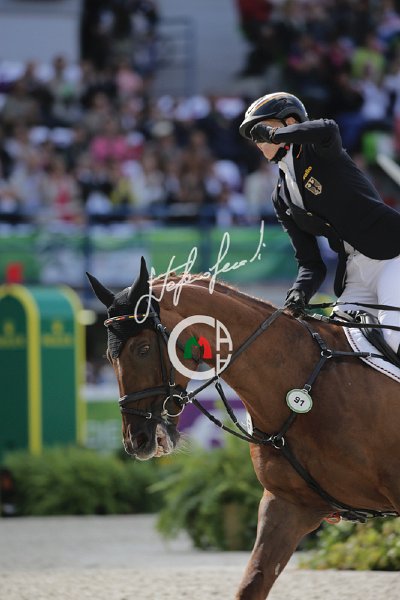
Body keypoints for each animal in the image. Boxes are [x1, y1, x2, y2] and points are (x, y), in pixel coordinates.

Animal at [87, 257, 400, 600]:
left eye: (143, 349)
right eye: (108, 356)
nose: (138, 440)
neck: (301, 385)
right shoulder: (288, 506)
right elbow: (252, 583)